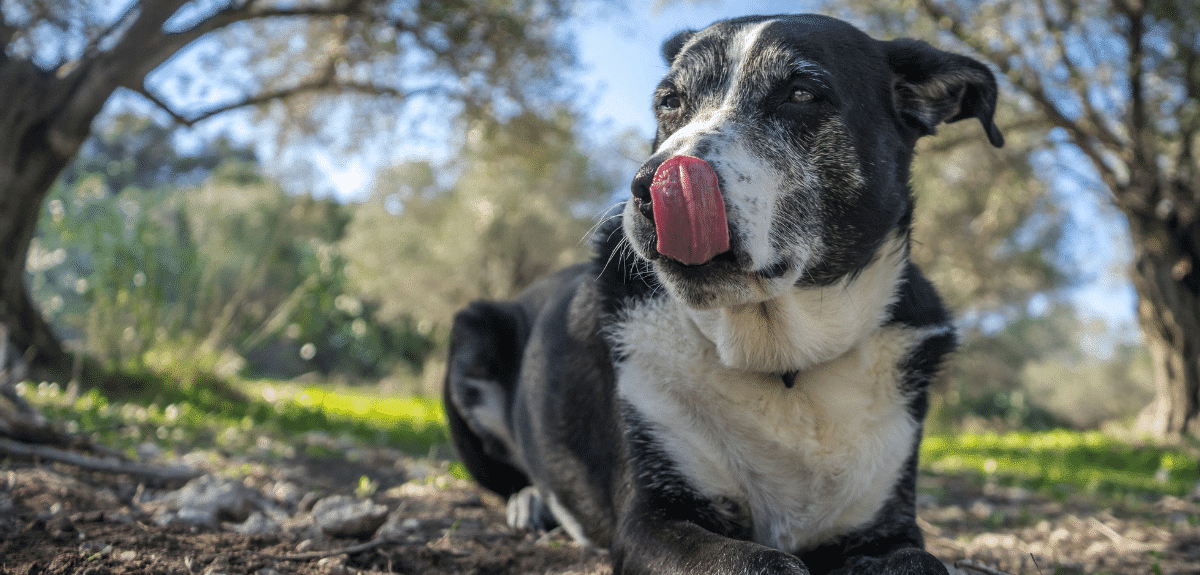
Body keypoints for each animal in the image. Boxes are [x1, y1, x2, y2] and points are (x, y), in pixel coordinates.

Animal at [441, 13, 1003, 575]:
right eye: (670, 101)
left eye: (802, 93)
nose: (648, 190)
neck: (780, 362)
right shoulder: (651, 520)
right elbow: (765, 563)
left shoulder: (887, 525)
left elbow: (922, 561)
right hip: (472, 340)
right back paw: (530, 502)